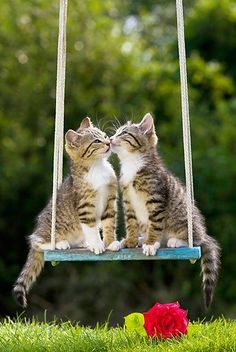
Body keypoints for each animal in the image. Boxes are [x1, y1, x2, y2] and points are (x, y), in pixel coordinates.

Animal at [12, 117, 120, 306]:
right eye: (96, 141)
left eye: (105, 136)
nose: (108, 142)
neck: (97, 168)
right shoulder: (85, 207)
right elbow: (91, 227)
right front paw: (97, 244)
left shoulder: (110, 201)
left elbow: (108, 224)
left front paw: (110, 242)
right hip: (46, 231)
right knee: (36, 241)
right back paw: (59, 243)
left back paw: (84, 243)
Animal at [111, 113, 220, 308]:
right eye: (116, 132)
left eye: (123, 133)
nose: (110, 138)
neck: (132, 164)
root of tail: (202, 231)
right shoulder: (128, 201)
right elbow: (131, 223)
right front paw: (131, 240)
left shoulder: (156, 199)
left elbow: (155, 223)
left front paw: (150, 243)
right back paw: (138, 239)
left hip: (185, 222)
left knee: (196, 240)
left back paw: (173, 241)